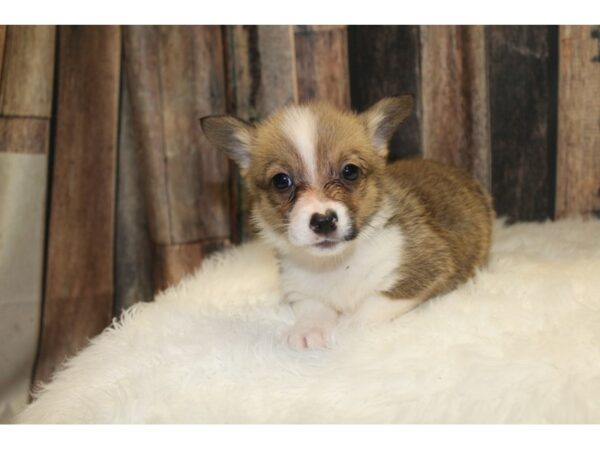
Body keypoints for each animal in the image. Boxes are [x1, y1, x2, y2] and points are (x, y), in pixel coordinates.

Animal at [202, 96, 492, 352]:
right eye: (281, 181)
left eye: (350, 171)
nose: (323, 221)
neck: (336, 264)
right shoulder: (300, 289)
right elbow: (314, 308)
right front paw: (309, 331)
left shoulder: (422, 271)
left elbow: (371, 306)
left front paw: (347, 329)